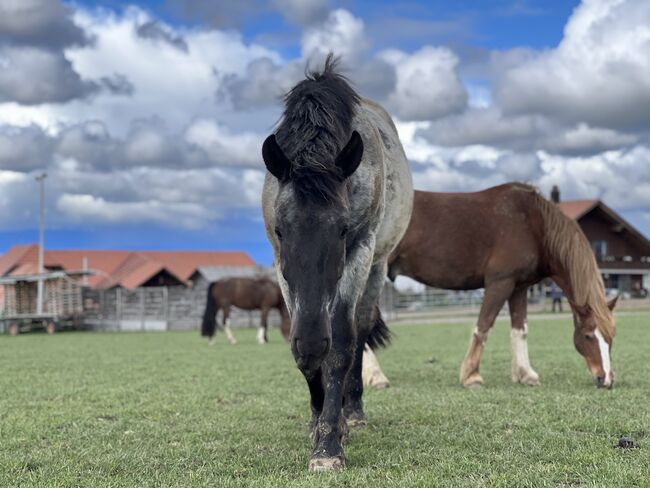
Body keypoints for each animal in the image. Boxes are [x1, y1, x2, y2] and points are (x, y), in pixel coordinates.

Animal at [260, 55, 408, 470]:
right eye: (281, 230)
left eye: (342, 230)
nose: (311, 342)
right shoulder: (280, 266)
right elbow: (307, 356)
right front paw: (319, 422)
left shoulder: (360, 251)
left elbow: (341, 345)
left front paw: (329, 444)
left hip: (376, 267)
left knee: (360, 331)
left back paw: (351, 411)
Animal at [368, 182, 616, 388]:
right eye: (588, 336)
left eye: (611, 337)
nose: (606, 379)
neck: (532, 223)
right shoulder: (500, 283)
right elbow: (484, 325)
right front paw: (471, 376)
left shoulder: (519, 287)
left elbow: (520, 330)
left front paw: (525, 374)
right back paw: (377, 378)